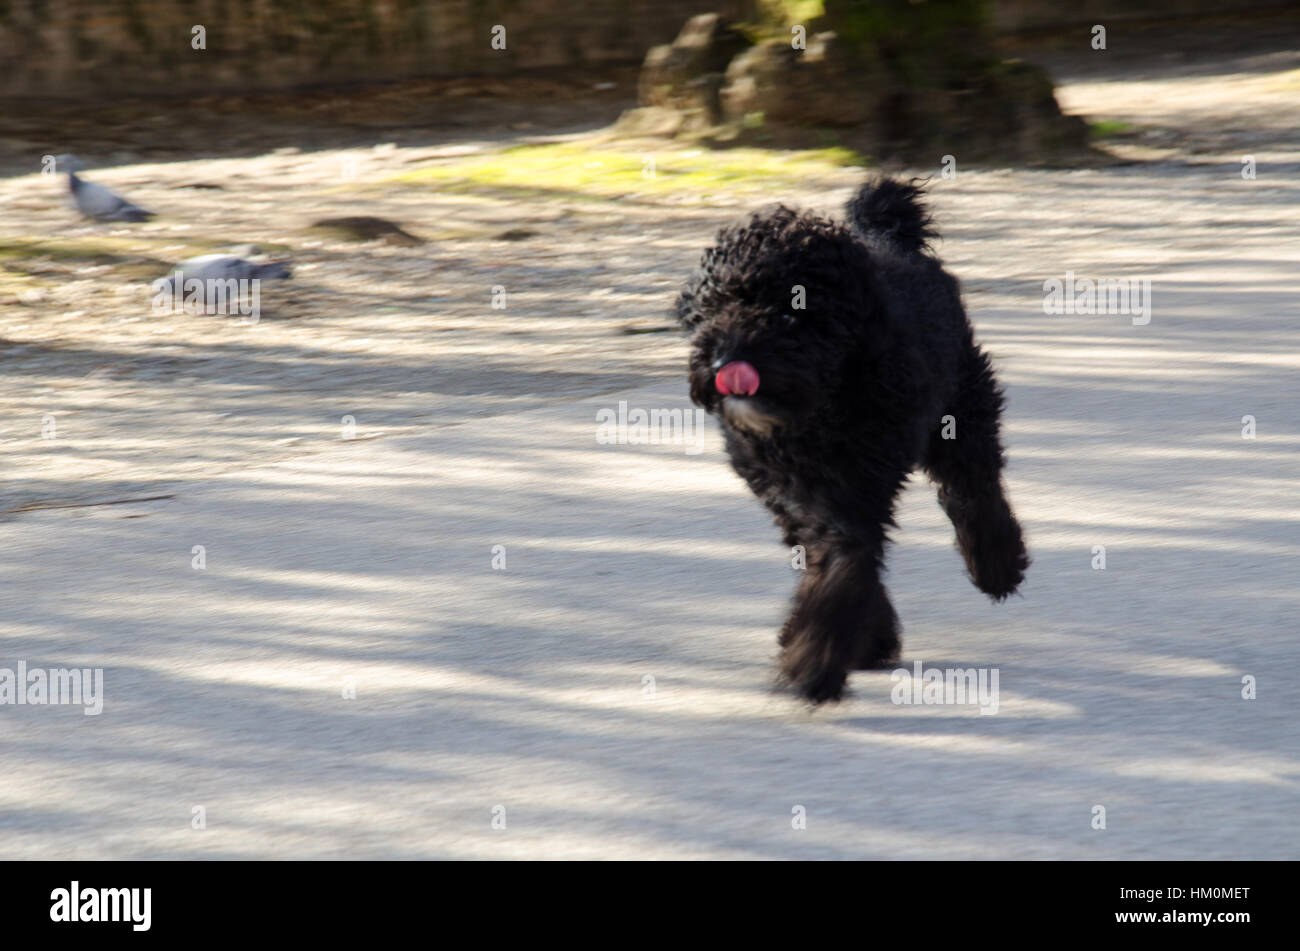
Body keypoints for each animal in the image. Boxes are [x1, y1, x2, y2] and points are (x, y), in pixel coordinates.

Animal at [676, 176, 1029, 706]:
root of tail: (887, 233)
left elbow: (842, 568)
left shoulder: (854, 493)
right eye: (714, 305)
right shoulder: (797, 499)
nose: (725, 362)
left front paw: (811, 661)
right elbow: (842, 564)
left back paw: (997, 565)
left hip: (963, 411)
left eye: (790, 310)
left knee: (974, 490)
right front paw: (868, 640)